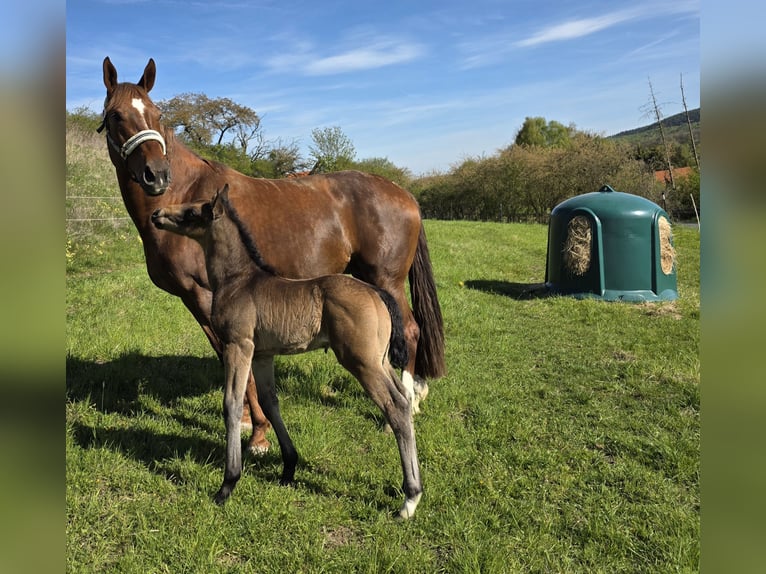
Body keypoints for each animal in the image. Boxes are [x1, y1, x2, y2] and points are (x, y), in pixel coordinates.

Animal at [99, 57, 445, 454]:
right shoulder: (196, 301)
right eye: (115, 116)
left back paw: (400, 411)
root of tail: (403, 193)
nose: (156, 175)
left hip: (385, 280)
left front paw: (259, 435)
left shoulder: (207, 296)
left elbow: (236, 360)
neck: (186, 191)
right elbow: (228, 358)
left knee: (410, 330)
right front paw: (251, 422)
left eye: (157, 114)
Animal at [151, 186, 423, 518]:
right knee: (404, 397)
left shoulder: (238, 345)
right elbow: (270, 402)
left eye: (191, 212)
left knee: (395, 405)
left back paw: (410, 499)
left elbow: (232, 403)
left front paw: (228, 484)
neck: (238, 279)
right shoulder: (263, 355)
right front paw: (289, 467)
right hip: (380, 360)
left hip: (362, 362)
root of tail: (377, 292)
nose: (157, 214)